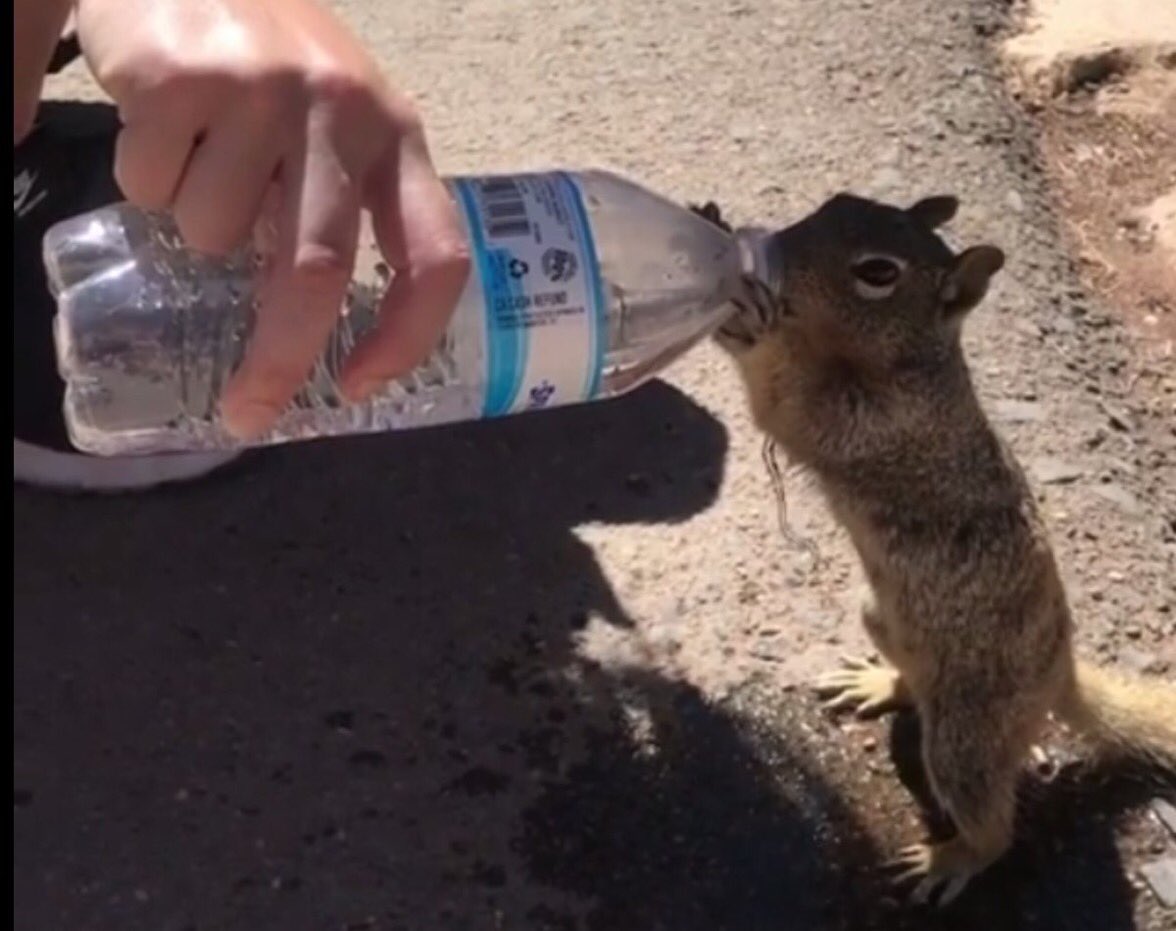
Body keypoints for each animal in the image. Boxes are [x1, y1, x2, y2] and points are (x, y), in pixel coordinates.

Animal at [691, 194, 1176, 905]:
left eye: (877, 272)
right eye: (837, 202)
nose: (774, 248)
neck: (914, 365)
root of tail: (1060, 674)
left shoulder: (873, 423)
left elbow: (785, 404)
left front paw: (747, 317)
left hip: (966, 736)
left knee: (990, 822)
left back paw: (947, 860)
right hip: (881, 617)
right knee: (912, 683)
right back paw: (877, 681)